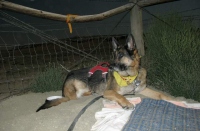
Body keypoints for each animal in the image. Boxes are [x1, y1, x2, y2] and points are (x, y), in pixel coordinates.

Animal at [36, 34, 173, 111]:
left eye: (121, 55)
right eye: (114, 55)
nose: (110, 66)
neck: (130, 77)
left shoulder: (142, 89)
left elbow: (161, 95)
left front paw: (174, 100)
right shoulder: (108, 92)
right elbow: (120, 96)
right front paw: (126, 103)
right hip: (77, 87)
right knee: (75, 97)